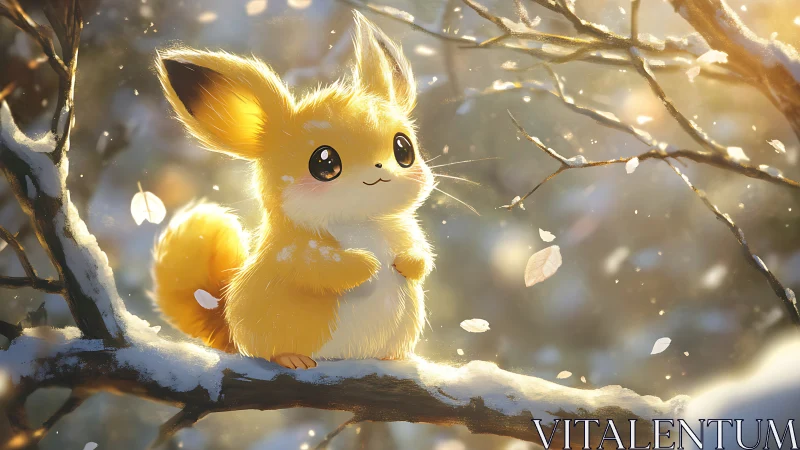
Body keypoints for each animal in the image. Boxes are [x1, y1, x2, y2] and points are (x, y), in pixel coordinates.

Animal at [151, 12, 435, 369]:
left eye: (403, 149)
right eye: (324, 162)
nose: (380, 169)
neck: (359, 220)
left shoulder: (403, 229)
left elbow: (421, 253)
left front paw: (407, 263)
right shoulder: (291, 249)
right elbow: (313, 267)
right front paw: (367, 265)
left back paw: (392, 358)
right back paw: (292, 358)